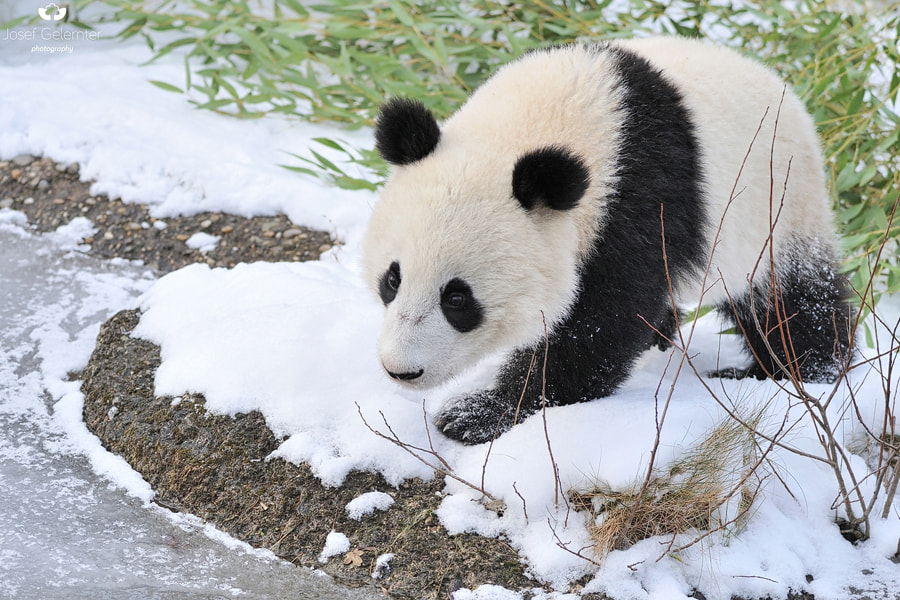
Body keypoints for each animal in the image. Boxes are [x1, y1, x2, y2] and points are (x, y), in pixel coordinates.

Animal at [362, 36, 852, 445]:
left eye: (458, 299)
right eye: (392, 279)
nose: (401, 370)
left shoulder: (638, 203)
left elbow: (598, 328)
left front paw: (476, 413)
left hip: (777, 212)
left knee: (791, 302)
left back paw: (799, 372)